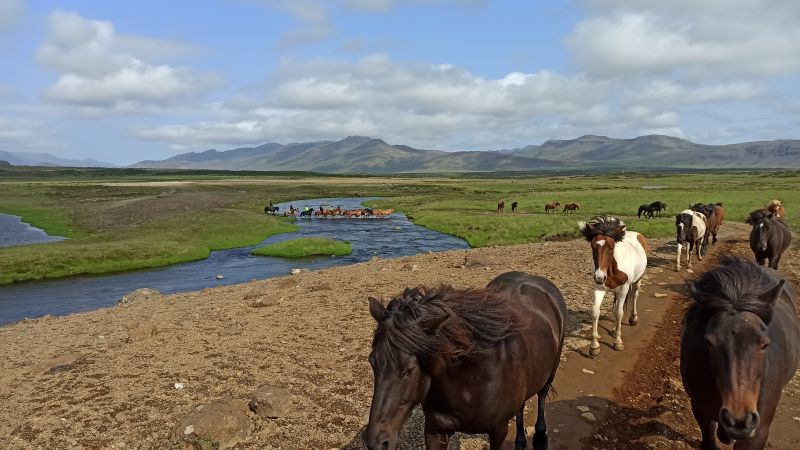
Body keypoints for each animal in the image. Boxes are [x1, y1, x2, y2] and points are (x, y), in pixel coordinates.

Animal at [366, 270, 564, 450]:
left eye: (409, 370)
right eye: (372, 363)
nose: (377, 442)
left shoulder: (498, 430)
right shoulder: (435, 430)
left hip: (550, 373)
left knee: (542, 396)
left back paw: (540, 437)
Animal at [580, 216, 648, 356]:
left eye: (611, 247)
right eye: (593, 246)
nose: (599, 277)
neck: (611, 268)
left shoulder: (624, 288)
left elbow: (619, 313)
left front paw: (618, 342)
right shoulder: (598, 289)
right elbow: (595, 313)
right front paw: (594, 346)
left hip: (637, 280)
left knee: (634, 295)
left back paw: (633, 319)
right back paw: (613, 329)